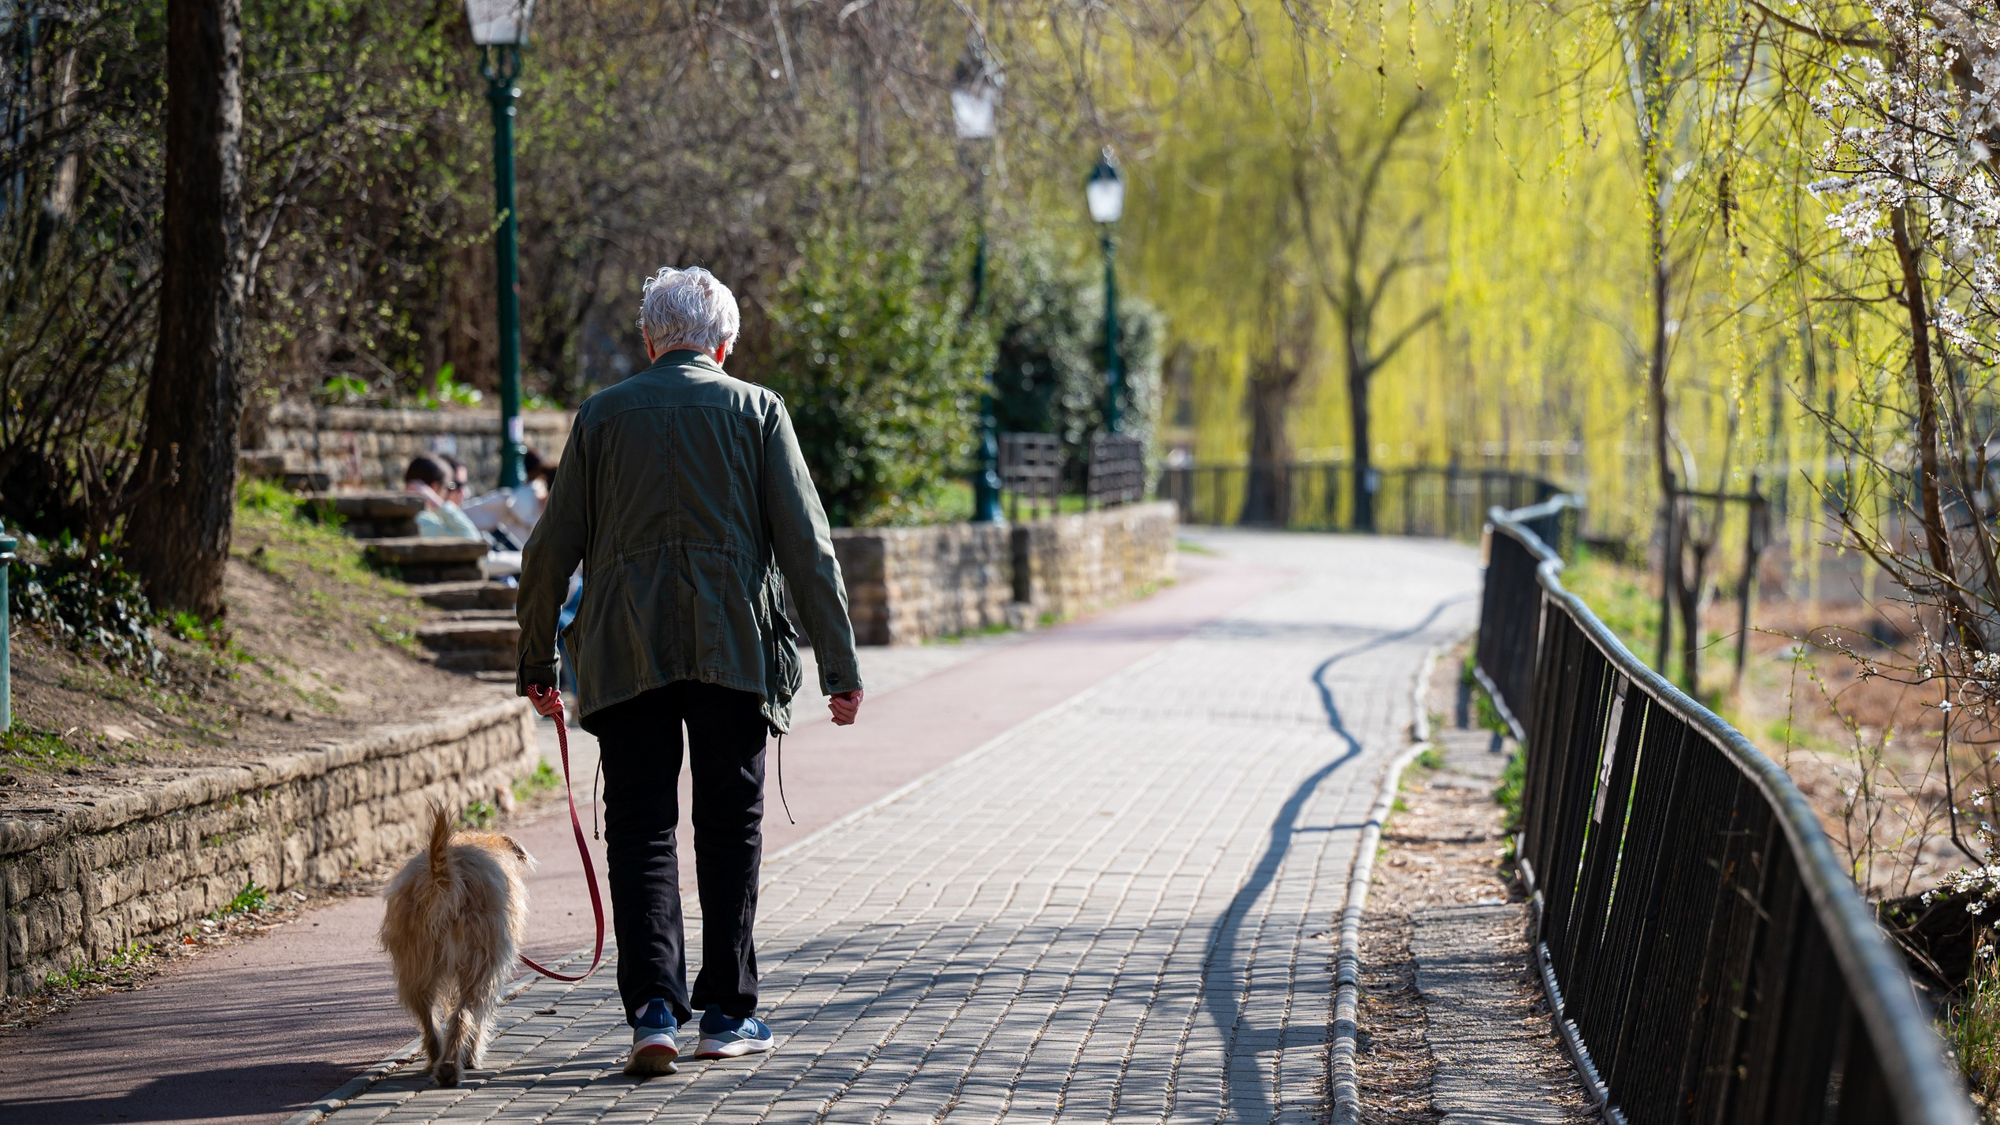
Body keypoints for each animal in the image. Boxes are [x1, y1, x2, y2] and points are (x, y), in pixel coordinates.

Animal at [380, 800, 532, 1080]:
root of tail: (443, 875)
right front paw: (472, 1055)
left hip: (416, 964)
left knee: (427, 1015)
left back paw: (437, 1059)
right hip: (480, 965)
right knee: (465, 1014)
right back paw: (451, 1067)